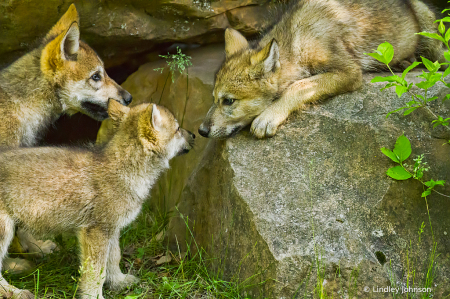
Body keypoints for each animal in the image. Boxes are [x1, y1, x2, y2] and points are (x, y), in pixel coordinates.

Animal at [199, 0, 444, 140]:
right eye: (214, 98)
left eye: (228, 101)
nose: (201, 131)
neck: (297, 42)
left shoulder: (349, 71)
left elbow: (298, 86)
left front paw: (269, 116)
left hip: (429, 30)